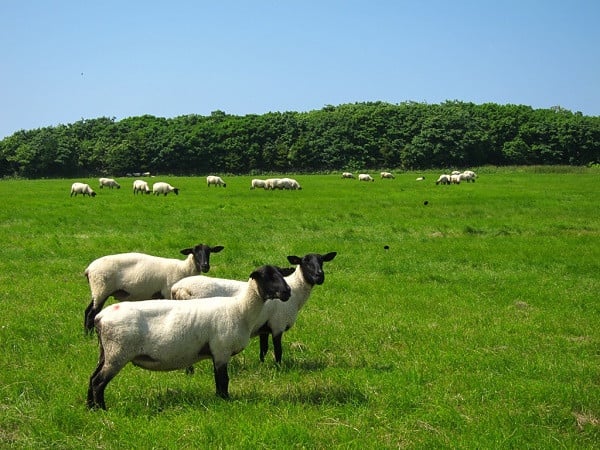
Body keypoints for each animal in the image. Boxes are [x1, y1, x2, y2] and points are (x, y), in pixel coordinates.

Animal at [82, 244, 225, 332]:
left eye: (209, 251)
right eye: (195, 252)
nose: (205, 266)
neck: (184, 269)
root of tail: (88, 269)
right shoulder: (167, 293)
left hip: (97, 290)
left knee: (87, 310)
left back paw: (86, 335)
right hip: (101, 288)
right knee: (91, 314)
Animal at [87, 266, 292, 410]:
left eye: (281, 274)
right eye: (268, 277)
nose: (288, 292)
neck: (240, 309)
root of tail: (100, 318)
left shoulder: (218, 353)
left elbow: (219, 380)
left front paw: (220, 400)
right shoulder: (221, 350)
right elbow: (223, 380)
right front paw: (224, 401)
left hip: (106, 352)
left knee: (92, 377)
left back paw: (90, 408)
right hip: (118, 353)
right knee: (98, 382)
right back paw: (102, 409)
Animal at [171, 251, 338, 364]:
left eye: (322, 261)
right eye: (305, 262)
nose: (320, 276)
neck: (297, 292)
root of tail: (178, 288)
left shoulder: (264, 328)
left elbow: (263, 349)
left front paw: (262, 364)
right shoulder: (278, 325)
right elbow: (278, 350)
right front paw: (279, 368)